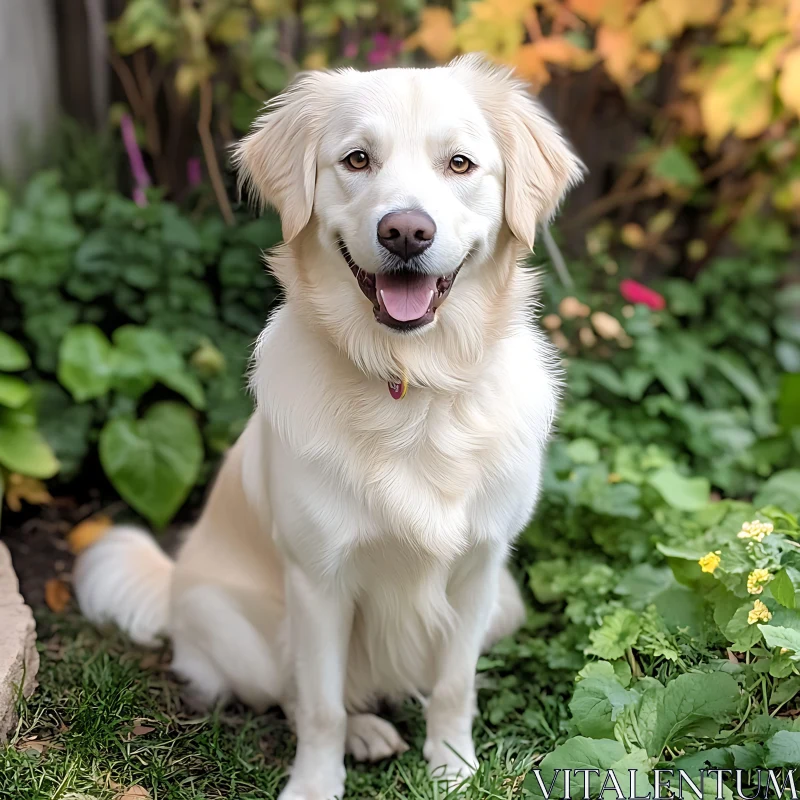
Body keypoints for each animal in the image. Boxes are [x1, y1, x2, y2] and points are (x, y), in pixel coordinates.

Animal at [75, 56, 584, 800]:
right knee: (296, 692)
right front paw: (316, 783)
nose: (406, 231)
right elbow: (317, 705)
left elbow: (453, 686)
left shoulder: (480, 571)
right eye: (357, 159)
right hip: (244, 633)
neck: (411, 384)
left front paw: (453, 769)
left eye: (460, 163)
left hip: (506, 606)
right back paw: (364, 732)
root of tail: (171, 586)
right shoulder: (318, 581)